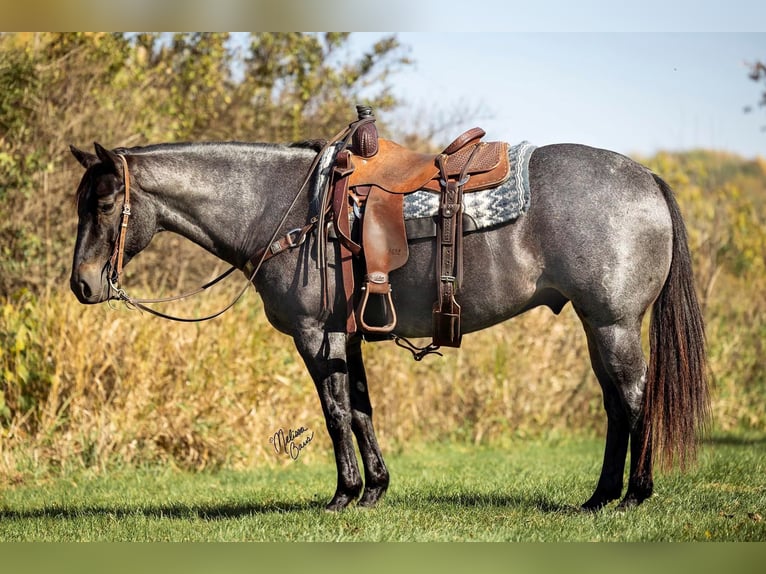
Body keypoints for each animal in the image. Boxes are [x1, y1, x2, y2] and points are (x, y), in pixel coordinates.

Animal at [69, 136, 712, 512]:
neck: (283, 208)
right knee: (616, 405)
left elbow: (334, 413)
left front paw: (343, 494)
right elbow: (360, 407)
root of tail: (647, 178)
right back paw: (601, 497)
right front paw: (374, 489)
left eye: (102, 204)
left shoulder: (314, 333)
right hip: (599, 326)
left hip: (614, 324)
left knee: (635, 399)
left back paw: (633, 496)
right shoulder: (344, 334)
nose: (83, 285)